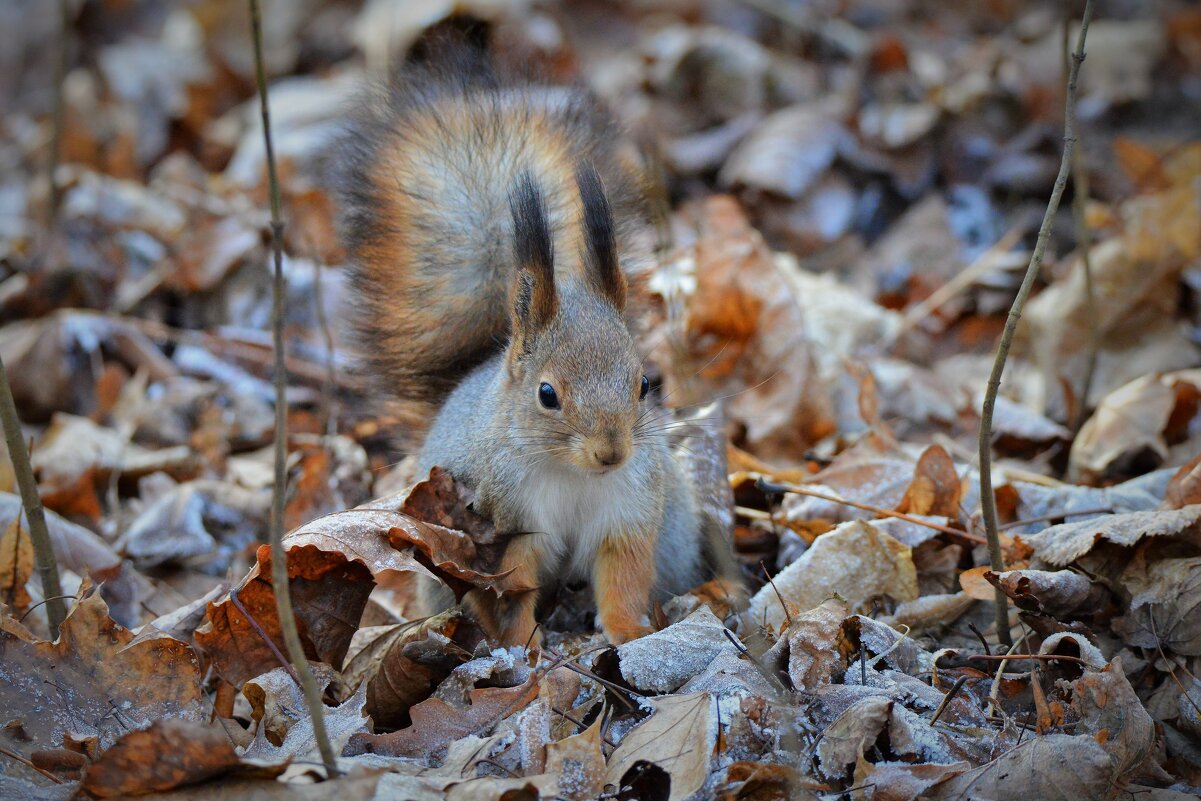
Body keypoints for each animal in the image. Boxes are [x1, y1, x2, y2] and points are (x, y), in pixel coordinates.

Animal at [333, 57, 735, 643]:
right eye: (547, 394)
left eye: (643, 384)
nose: (611, 453)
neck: (574, 475)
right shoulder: (506, 523)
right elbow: (514, 589)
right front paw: (520, 643)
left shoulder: (629, 513)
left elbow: (623, 578)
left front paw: (628, 632)